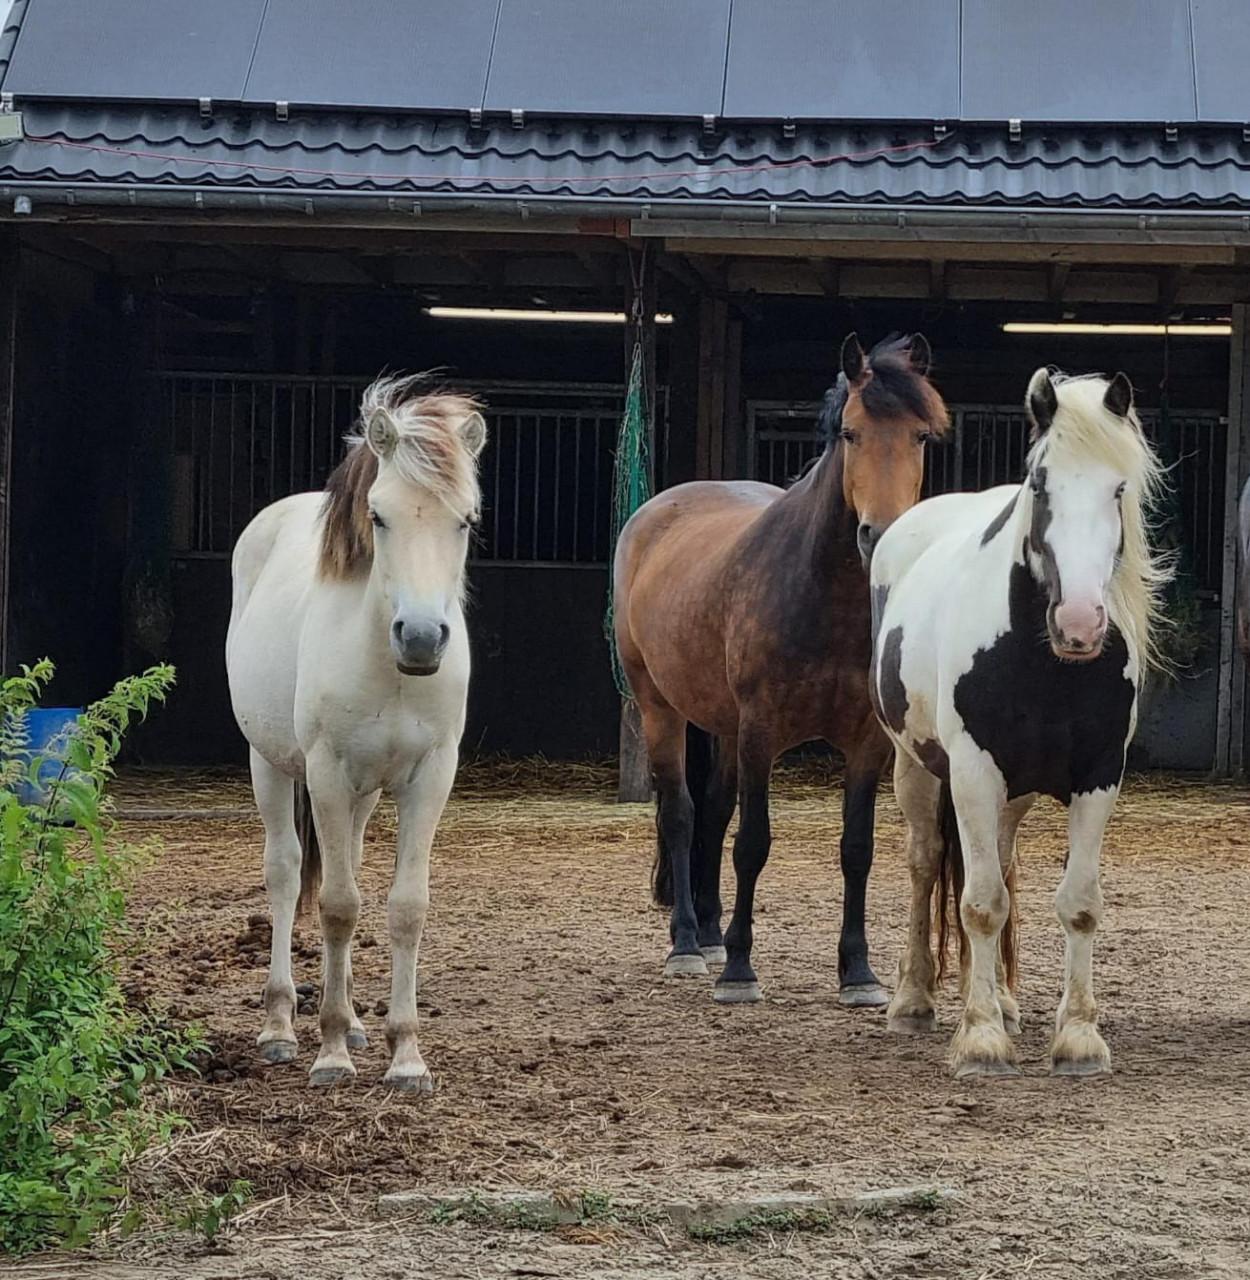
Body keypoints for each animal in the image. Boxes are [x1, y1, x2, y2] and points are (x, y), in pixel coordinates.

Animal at [226, 375, 486, 1089]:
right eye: (379, 516)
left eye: (465, 519)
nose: (421, 638)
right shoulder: (326, 774)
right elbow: (338, 905)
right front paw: (332, 1051)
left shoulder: (430, 777)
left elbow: (404, 906)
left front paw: (405, 1055)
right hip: (272, 766)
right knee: (288, 874)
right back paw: (282, 1027)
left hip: (367, 792)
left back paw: (360, 1026)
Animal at [613, 334, 949, 1005]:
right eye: (849, 433)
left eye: (922, 436)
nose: (880, 534)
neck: (825, 597)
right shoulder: (761, 731)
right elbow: (753, 843)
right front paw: (741, 970)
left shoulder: (866, 743)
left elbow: (856, 849)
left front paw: (858, 973)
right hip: (659, 706)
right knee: (681, 812)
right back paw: (687, 943)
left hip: (720, 724)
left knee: (713, 809)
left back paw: (709, 933)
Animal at [870, 367, 1170, 1078]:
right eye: (1039, 484)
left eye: (1119, 488)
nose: (1080, 624)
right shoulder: (973, 772)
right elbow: (979, 903)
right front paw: (980, 1040)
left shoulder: (1097, 777)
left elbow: (1075, 903)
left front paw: (1078, 1037)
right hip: (917, 770)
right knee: (927, 864)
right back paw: (915, 1001)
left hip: (1013, 795)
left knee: (1000, 863)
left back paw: (1001, 1002)